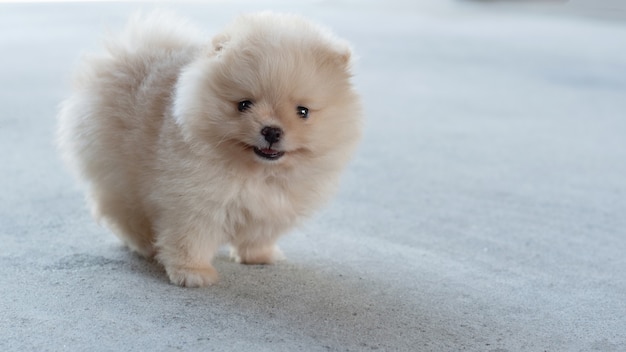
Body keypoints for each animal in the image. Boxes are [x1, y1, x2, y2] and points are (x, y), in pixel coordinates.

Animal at [58, 11, 364, 288]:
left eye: (303, 112)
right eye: (244, 105)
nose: (271, 131)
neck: (257, 172)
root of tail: (124, 56)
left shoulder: (270, 208)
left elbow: (258, 234)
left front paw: (259, 256)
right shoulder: (193, 201)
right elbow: (190, 239)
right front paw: (193, 274)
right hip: (119, 174)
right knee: (125, 213)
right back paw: (147, 245)